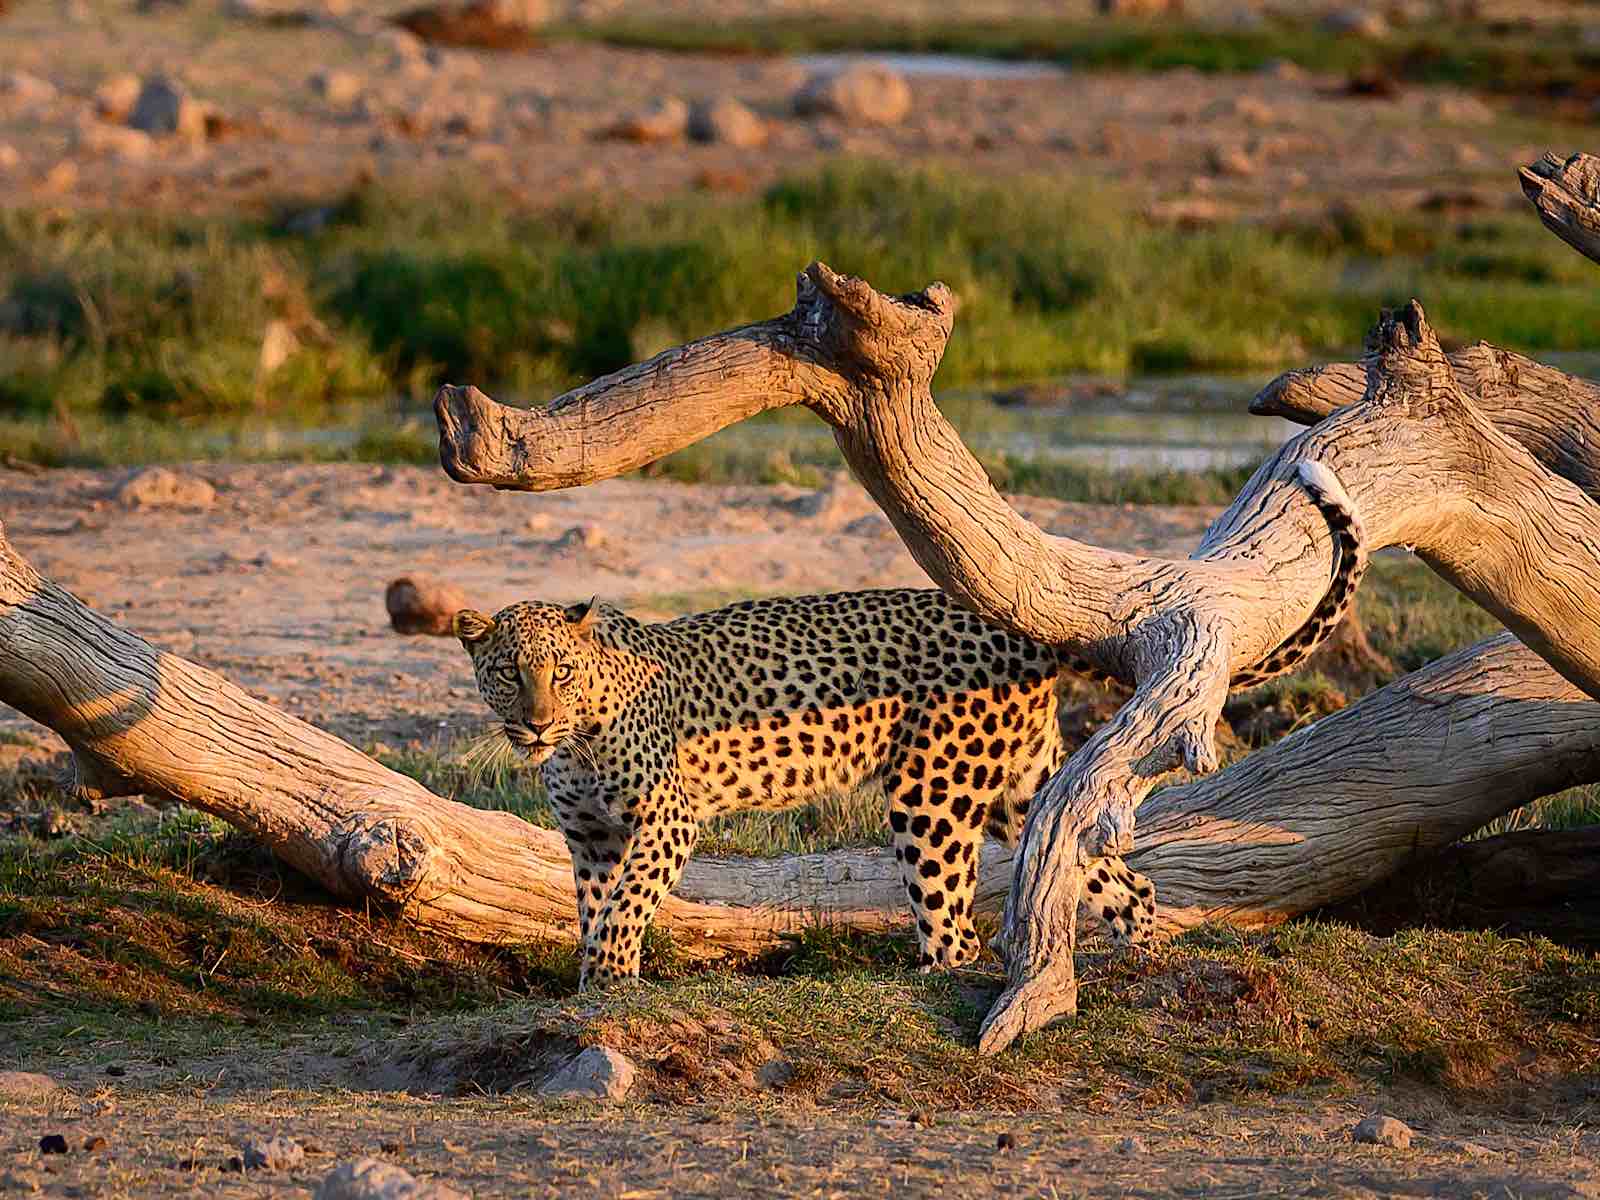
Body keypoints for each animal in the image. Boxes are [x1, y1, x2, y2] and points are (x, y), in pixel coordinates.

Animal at [452, 461, 1365, 989]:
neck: (577, 739)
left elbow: (629, 897)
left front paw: (609, 977)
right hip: (1015, 786)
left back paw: (924, 978)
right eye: (508, 673)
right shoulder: (588, 833)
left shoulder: (665, 817)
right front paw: (591, 977)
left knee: (953, 926)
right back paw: (1146, 956)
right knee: (1111, 870)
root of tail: (1013, 628)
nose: (534, 725)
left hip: (934, 791)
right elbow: (593, 899)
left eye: (561, 674)